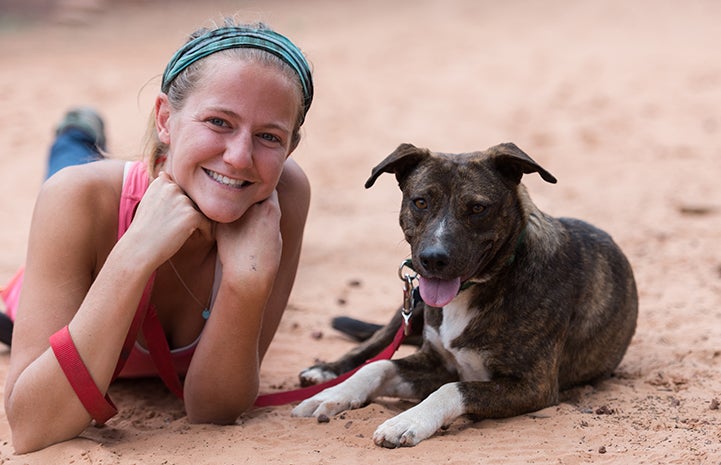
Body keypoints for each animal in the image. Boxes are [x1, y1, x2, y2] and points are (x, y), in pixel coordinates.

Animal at [292, 141, 636, 446]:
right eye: (420, 202)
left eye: (478, 208)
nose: (433, 259)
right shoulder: (436, 360)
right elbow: (378, 366)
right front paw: (334, 395)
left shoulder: (532, 385)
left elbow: (452, 388)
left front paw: (407, 421)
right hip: (413, 304)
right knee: (375, 344)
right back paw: (325, 372)